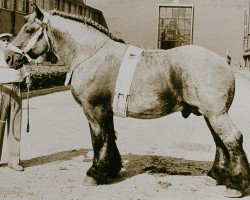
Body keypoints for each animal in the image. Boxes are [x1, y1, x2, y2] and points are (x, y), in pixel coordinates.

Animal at [4, 5, 249, 197]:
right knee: (220, 142)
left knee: (232, 138)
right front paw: (111, 169)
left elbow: (98, 140)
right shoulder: (106, 110)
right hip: (209, 114)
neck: (91, 54)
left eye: (29, 29)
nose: (8, 57)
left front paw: (95, 173)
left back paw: (235, 185)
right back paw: (215, 176)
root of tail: (224, 61)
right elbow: (109, 137)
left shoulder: (93, 110)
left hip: (216, 114)